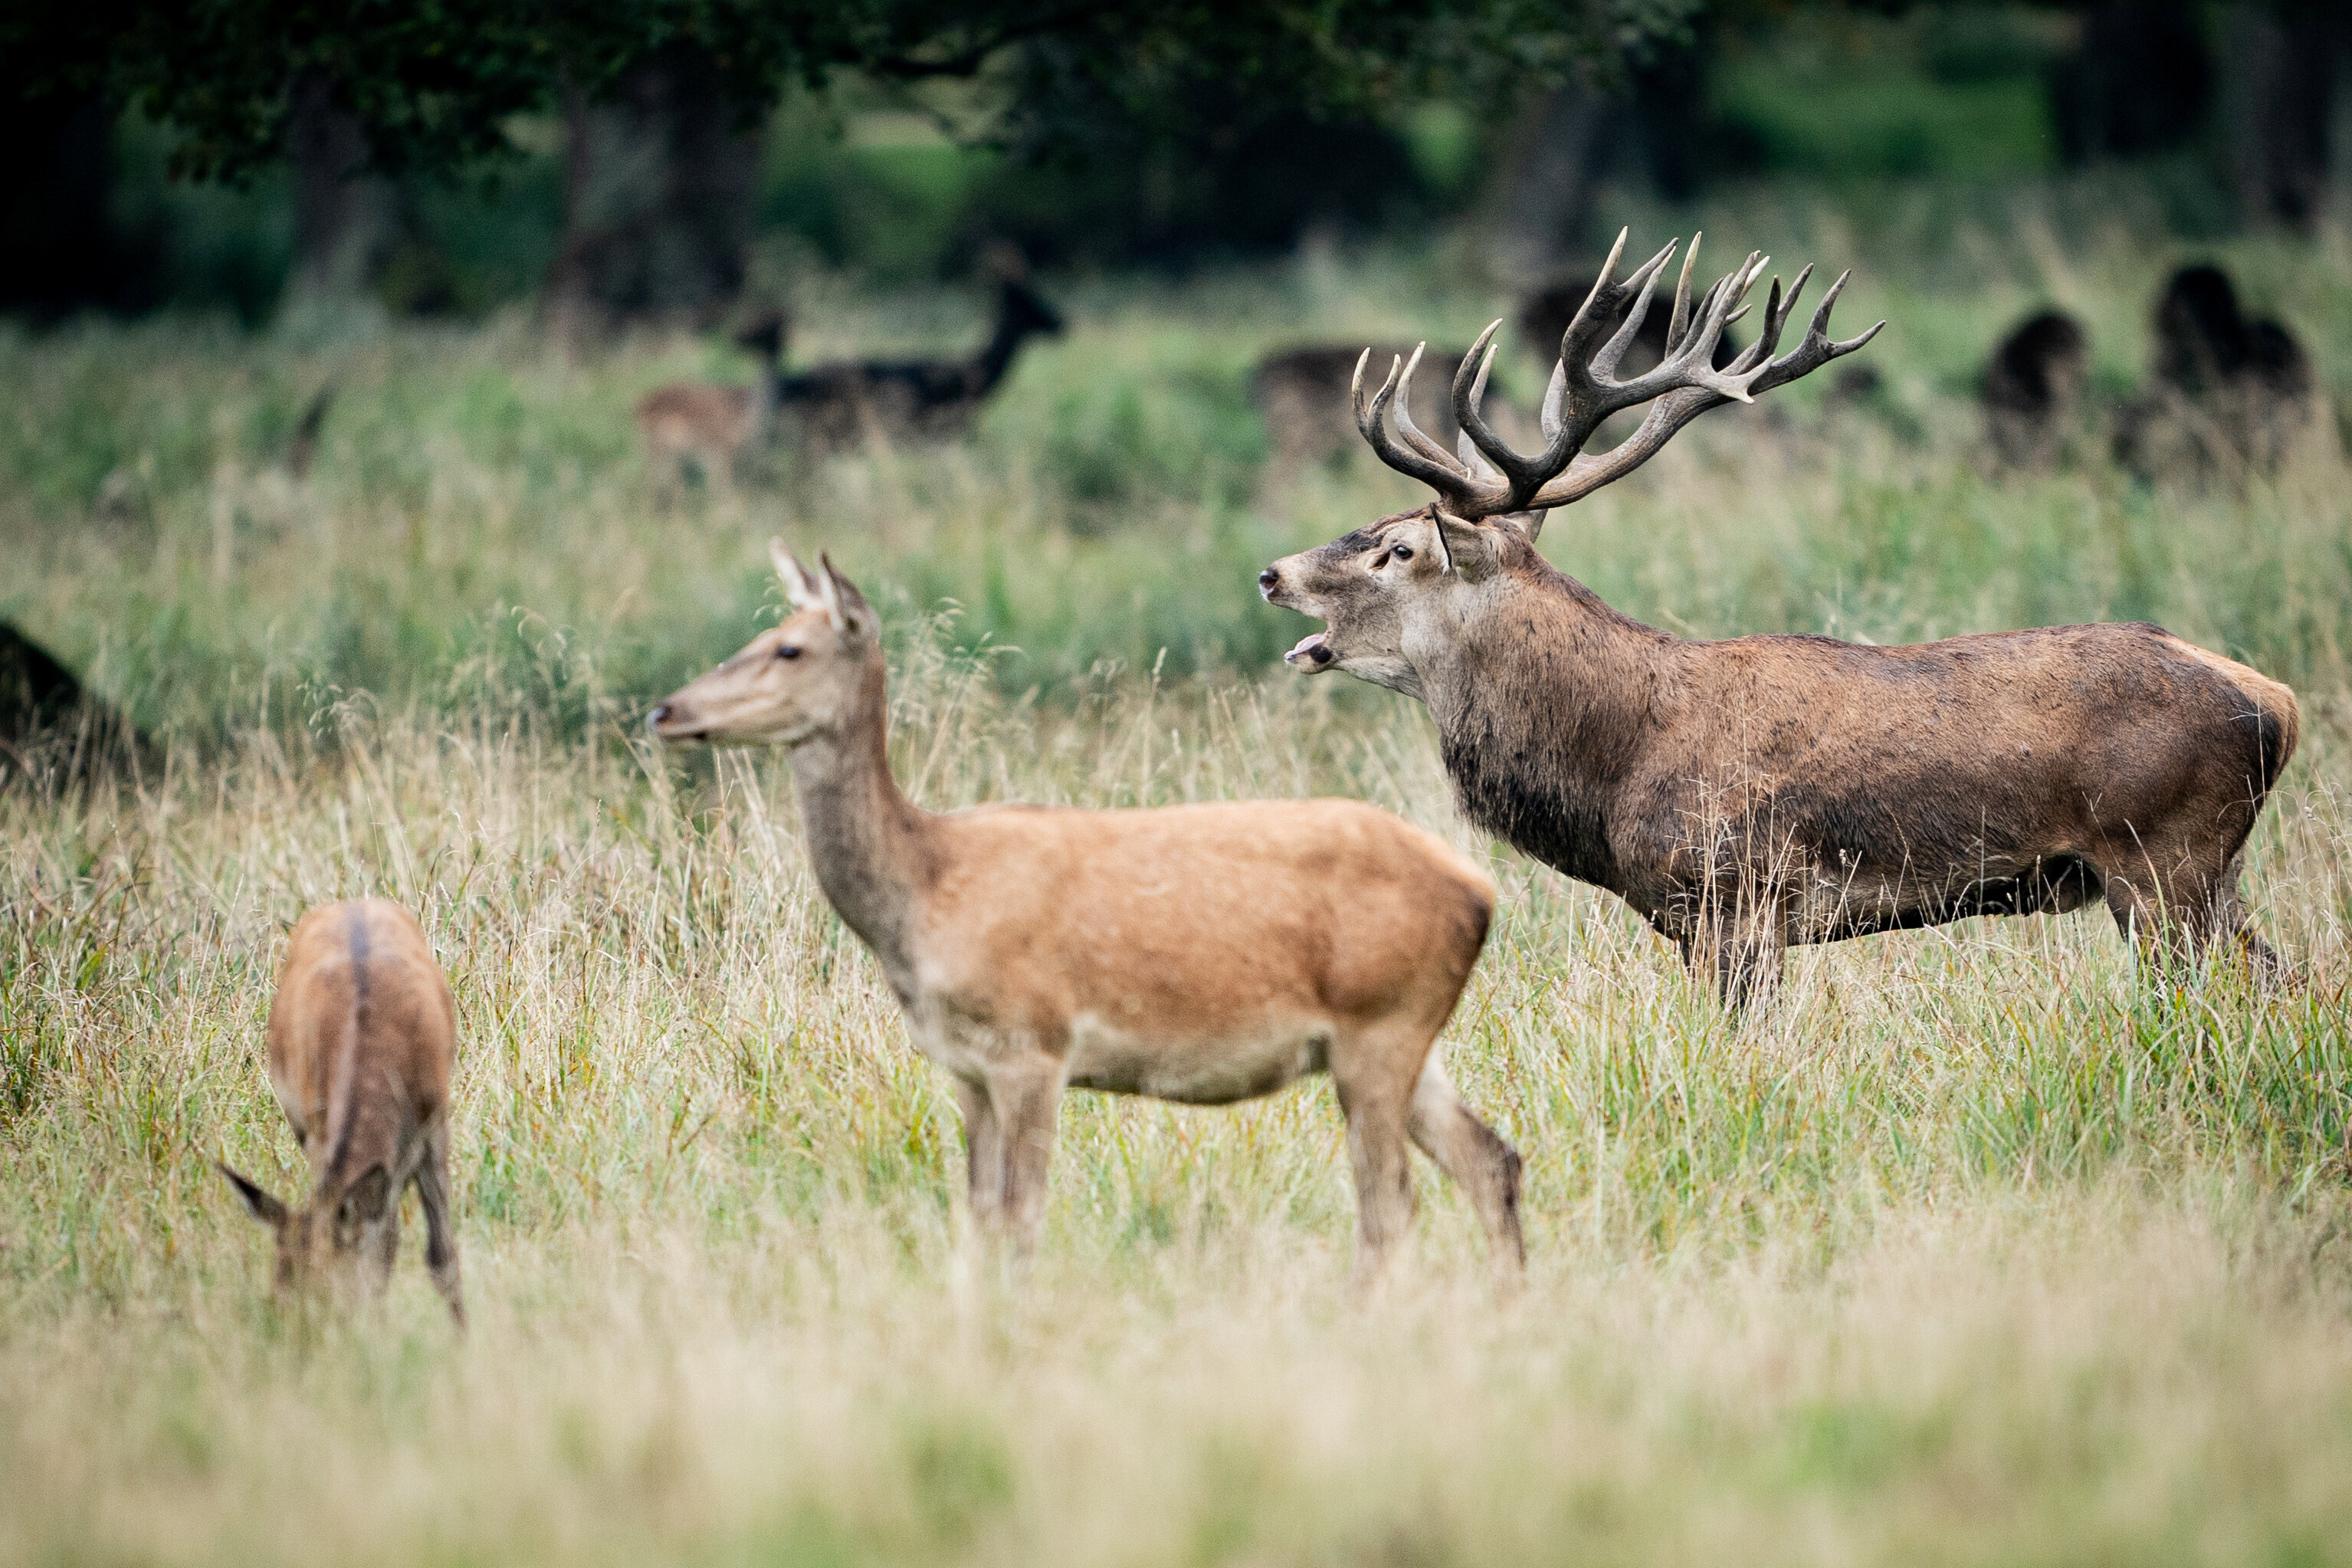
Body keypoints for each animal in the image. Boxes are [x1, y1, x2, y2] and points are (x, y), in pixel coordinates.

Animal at [222, 893, 470, 1326]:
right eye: (275, 1294)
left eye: (328, 1294)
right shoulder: (317, 1126)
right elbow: (383, 1249)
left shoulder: (435, 1121)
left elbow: (440, 1256)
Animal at [635, 312, 790, 491]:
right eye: (752, 324)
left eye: (770, 328)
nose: (738, 338)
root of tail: (638, 406)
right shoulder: (721, 449)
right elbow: (724, 488)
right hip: (657, 445)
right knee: (653, 480)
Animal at [649, 545, 1524, 1278]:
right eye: (766, 631)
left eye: (789, 649)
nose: (665, 710)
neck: (926, 891)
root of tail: (1480, 891)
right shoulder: (965, 1069)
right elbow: (978, 1217)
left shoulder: (1035, 1043)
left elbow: (1021, 1216)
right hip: (1404, 1036)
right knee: (1492, 1160)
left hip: (1378, 1020)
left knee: (1391, 1204)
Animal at [1260, 232, 2304, 1005]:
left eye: (1399, 548)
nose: (1273, 572)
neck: (1615, 764)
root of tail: (2277, 701)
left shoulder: (1740, 901)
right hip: (2208, 875)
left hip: (2166, 856)